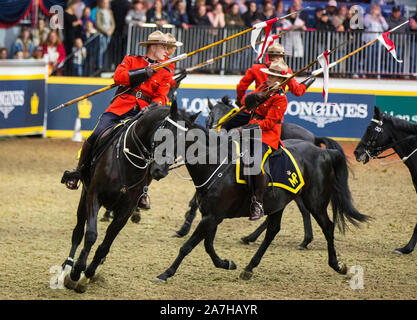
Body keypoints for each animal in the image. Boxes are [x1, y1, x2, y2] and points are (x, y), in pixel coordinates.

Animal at [59, 105, 200, 292]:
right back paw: (67, 266)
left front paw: (88, 273)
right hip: (84, 196)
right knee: (78, 231)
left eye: (185, 142)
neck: (128, 160)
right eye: (164, 135)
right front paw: (76, 272)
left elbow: (105, 245)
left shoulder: (125, 211)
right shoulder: (94, 196)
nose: (160, 171)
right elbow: (90, 235)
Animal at [149, 104, 368, 282]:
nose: (156, 170)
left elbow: (189, 246)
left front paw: (166, 273)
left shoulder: (212, 217)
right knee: (273, 231)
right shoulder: (212, 216)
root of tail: (323, 152)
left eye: (176, 137)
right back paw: (250, 265)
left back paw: (336, 264)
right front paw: (226, 263)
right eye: (159, 133)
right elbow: (207, 245)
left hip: (315, 201)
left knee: (328, 226)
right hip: (280, 202)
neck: (215, 164)